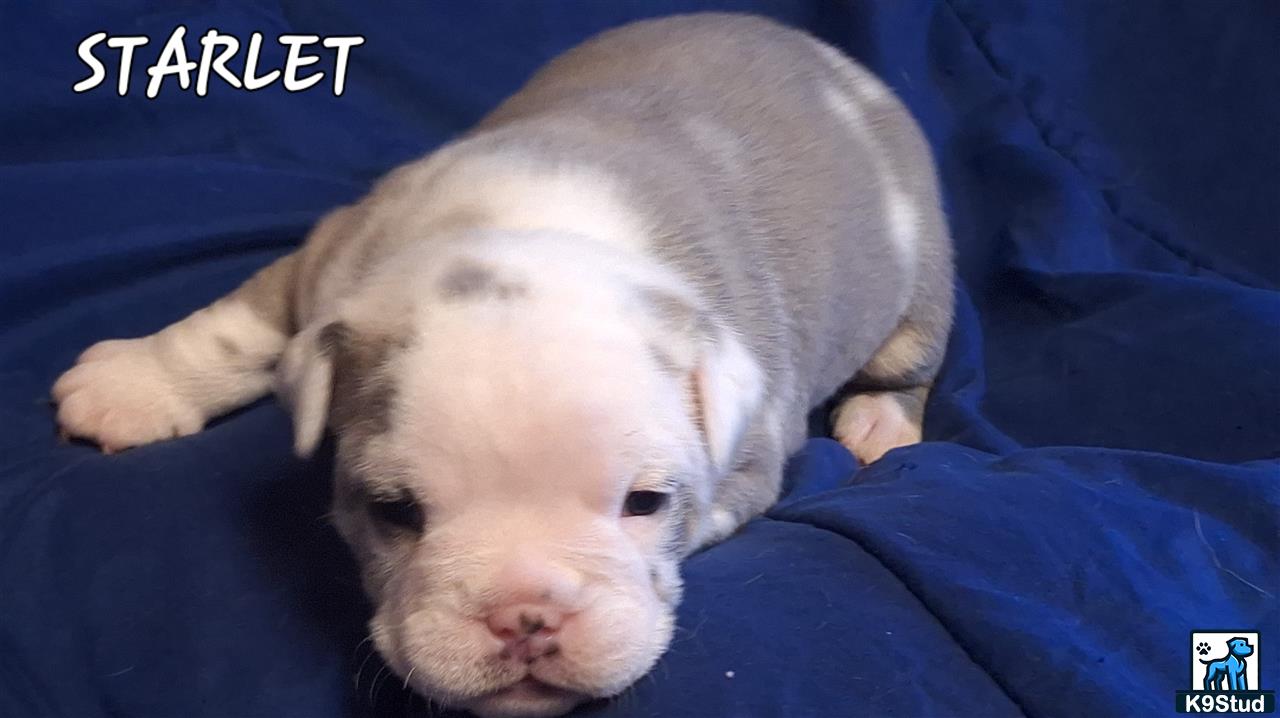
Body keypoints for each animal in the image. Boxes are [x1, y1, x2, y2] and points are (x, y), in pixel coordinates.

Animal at [49, 12, 952, 716]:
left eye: (647, 504)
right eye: (394, 511)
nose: (526, 615)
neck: (529, 234)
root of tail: (823, 54)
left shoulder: (752, 460)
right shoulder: (328, 260)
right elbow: (235, 331)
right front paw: (129, 386)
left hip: (923, 274)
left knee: (912, 356)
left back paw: (880, 420)